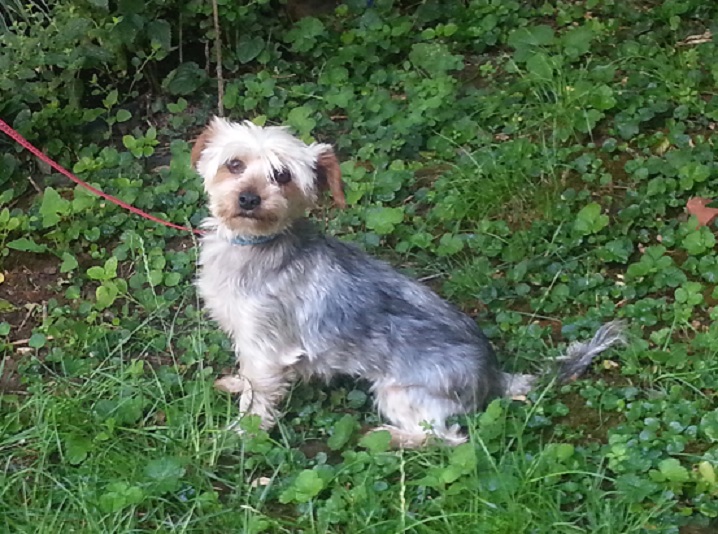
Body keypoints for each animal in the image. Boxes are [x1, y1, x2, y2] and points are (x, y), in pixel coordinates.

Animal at [191, 116, 626, 447]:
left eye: (282, 176)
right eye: (234, 164)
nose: (249, 198)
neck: (254, 245)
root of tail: (494, 375)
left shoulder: (265, 345)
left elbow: (258, 400)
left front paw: (240, 435)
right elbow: (252, 379)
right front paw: (238, 384)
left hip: (399, 392)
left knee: (447, 439)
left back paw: (388, 438)